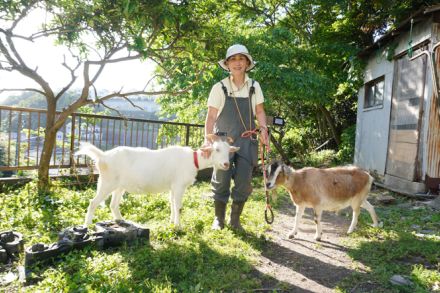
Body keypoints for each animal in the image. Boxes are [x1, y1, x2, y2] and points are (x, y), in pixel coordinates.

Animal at [76, 133, 241, 227]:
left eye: (229, 151)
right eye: (216, 149)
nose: (226, 164)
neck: (193, 160)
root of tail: (102, 156)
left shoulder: (173, 186)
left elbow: (172, 203)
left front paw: (172, 222)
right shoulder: (179, 185)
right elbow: (178, 206)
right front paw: (179, 226)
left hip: (119, 185)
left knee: (113, 204)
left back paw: (120, 220)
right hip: (106, 182)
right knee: (93, 202)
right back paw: (87, 226)